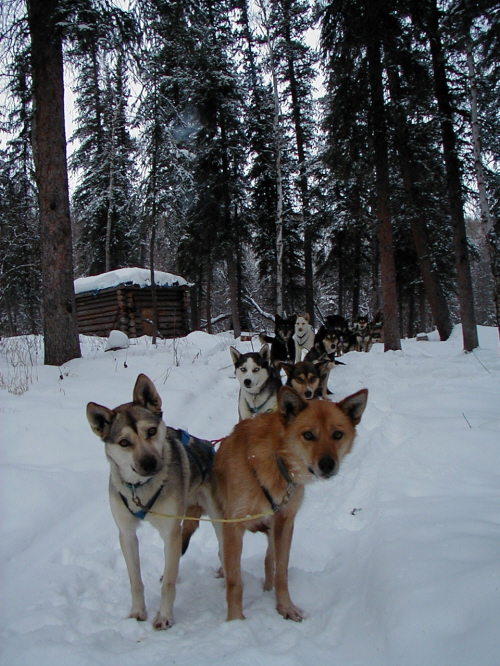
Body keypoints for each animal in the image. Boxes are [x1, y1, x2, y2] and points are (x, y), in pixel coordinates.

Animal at [211, 384, 368, 624]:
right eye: (308, 435)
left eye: (337, 435)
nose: (327, 465)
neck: (278, 461)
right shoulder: (234, 524)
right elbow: (235, 580)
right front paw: (235, 621)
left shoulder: (285, 522)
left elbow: (281, 571)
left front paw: (284, 606)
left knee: (269, 560)